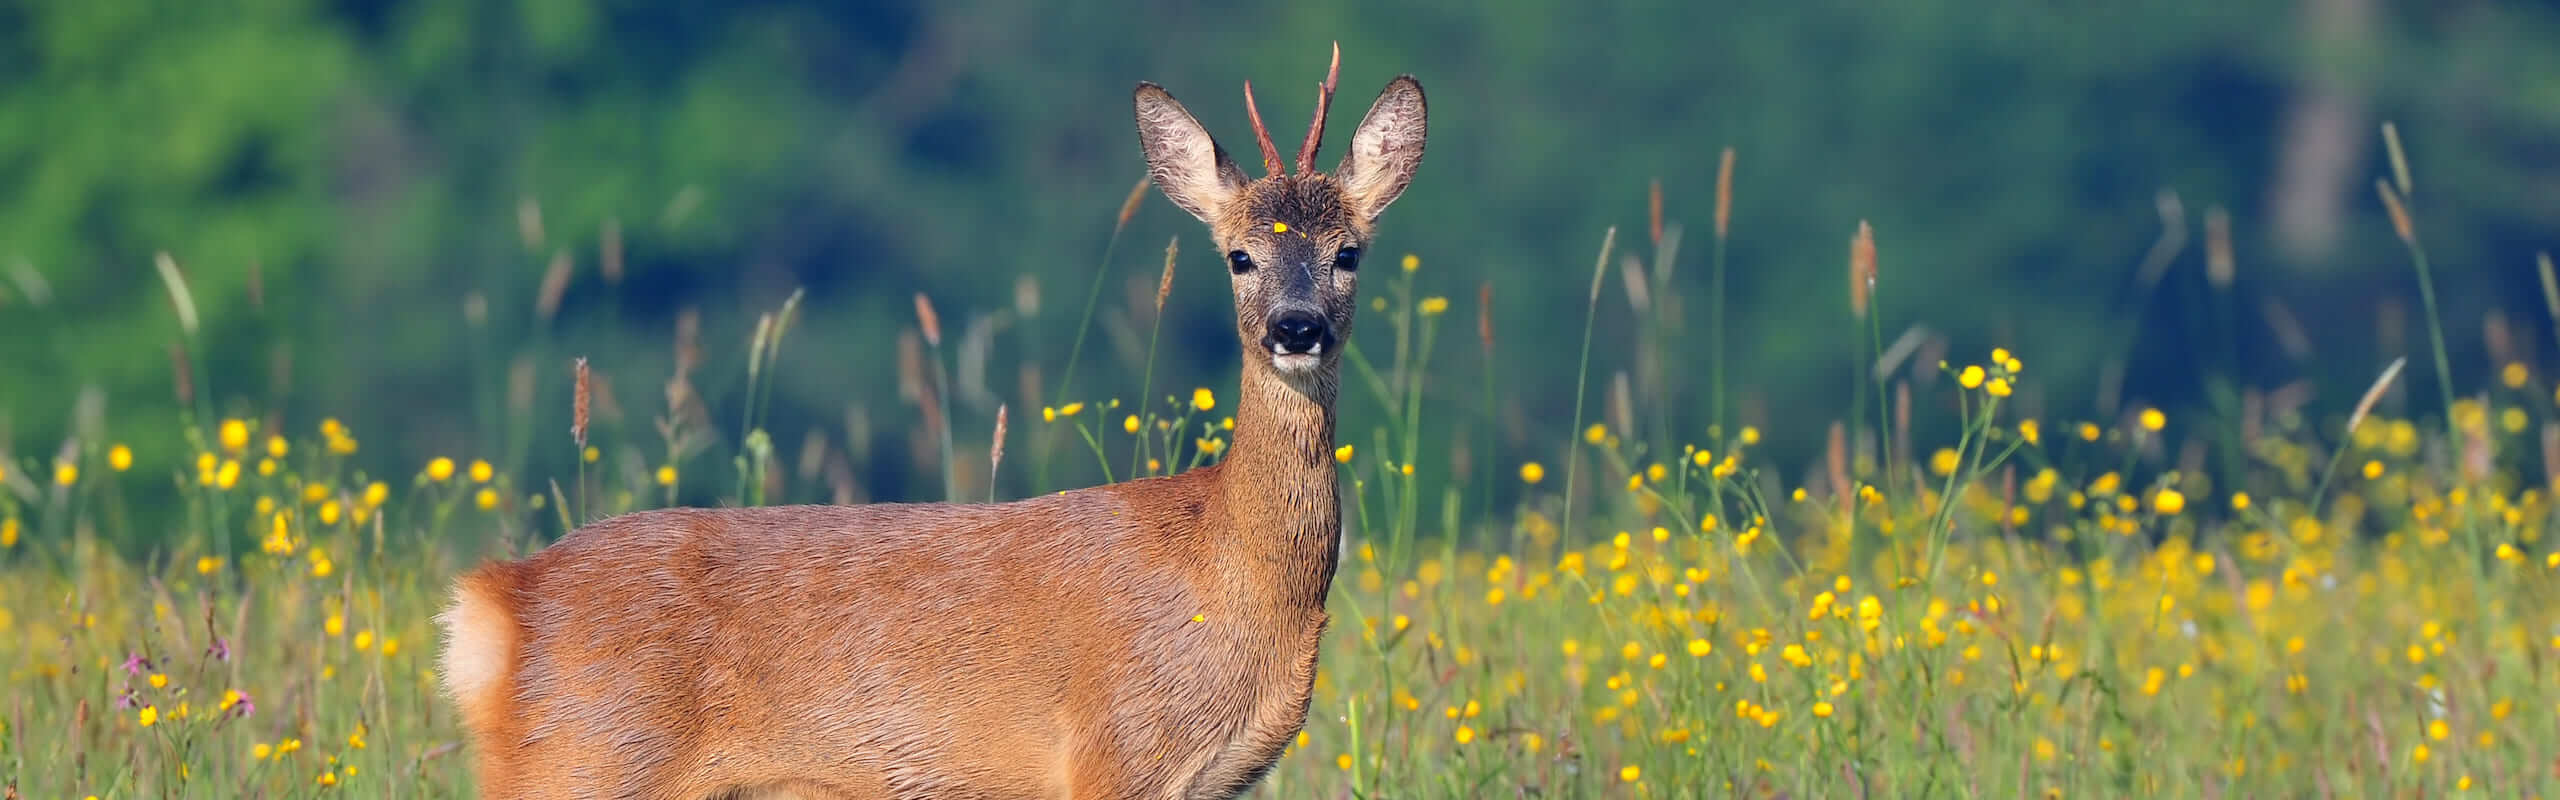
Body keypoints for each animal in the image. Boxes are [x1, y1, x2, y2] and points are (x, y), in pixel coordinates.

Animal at [448, 45, 1433, 800]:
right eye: (1238, 255)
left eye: (1349, 253)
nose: (1295, 327)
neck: (1236, 575)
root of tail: (498, 601)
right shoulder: (1114, 751)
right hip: (592, 761)